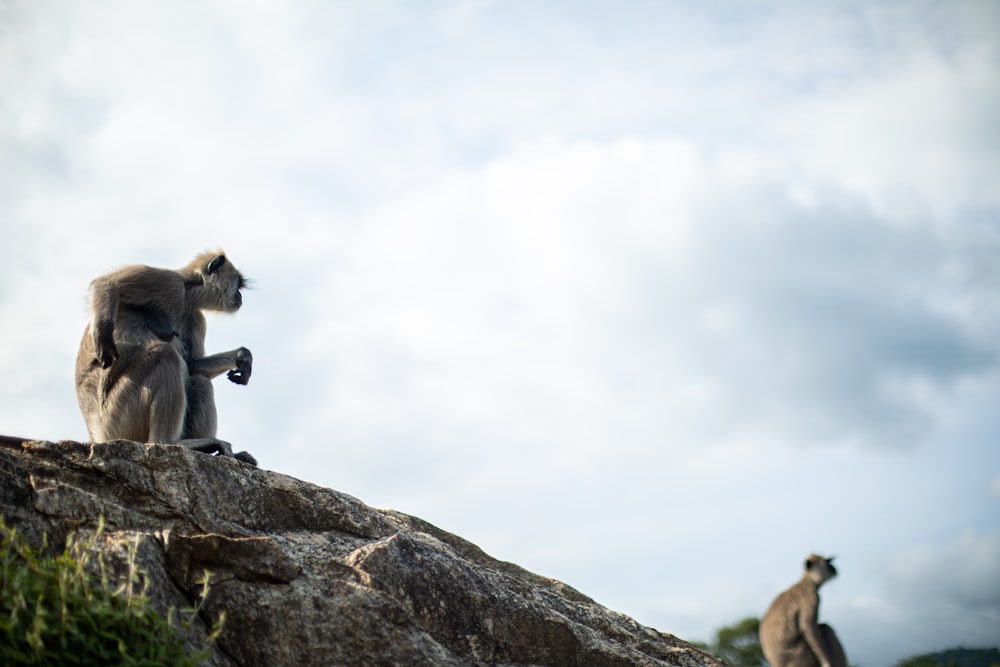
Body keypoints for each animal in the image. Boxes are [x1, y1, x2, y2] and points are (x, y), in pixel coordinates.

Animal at [77, 249, 258, 464]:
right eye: (238, 284)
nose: (239, 296)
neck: (187, 296)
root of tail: (95, 433)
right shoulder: (169, 282)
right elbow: (105, 283)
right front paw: (103, 334)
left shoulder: (195, 316)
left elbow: (192, 365)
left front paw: (242, 356)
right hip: (117, 416)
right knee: (166, 356)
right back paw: (169, 443)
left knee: (199, 380)